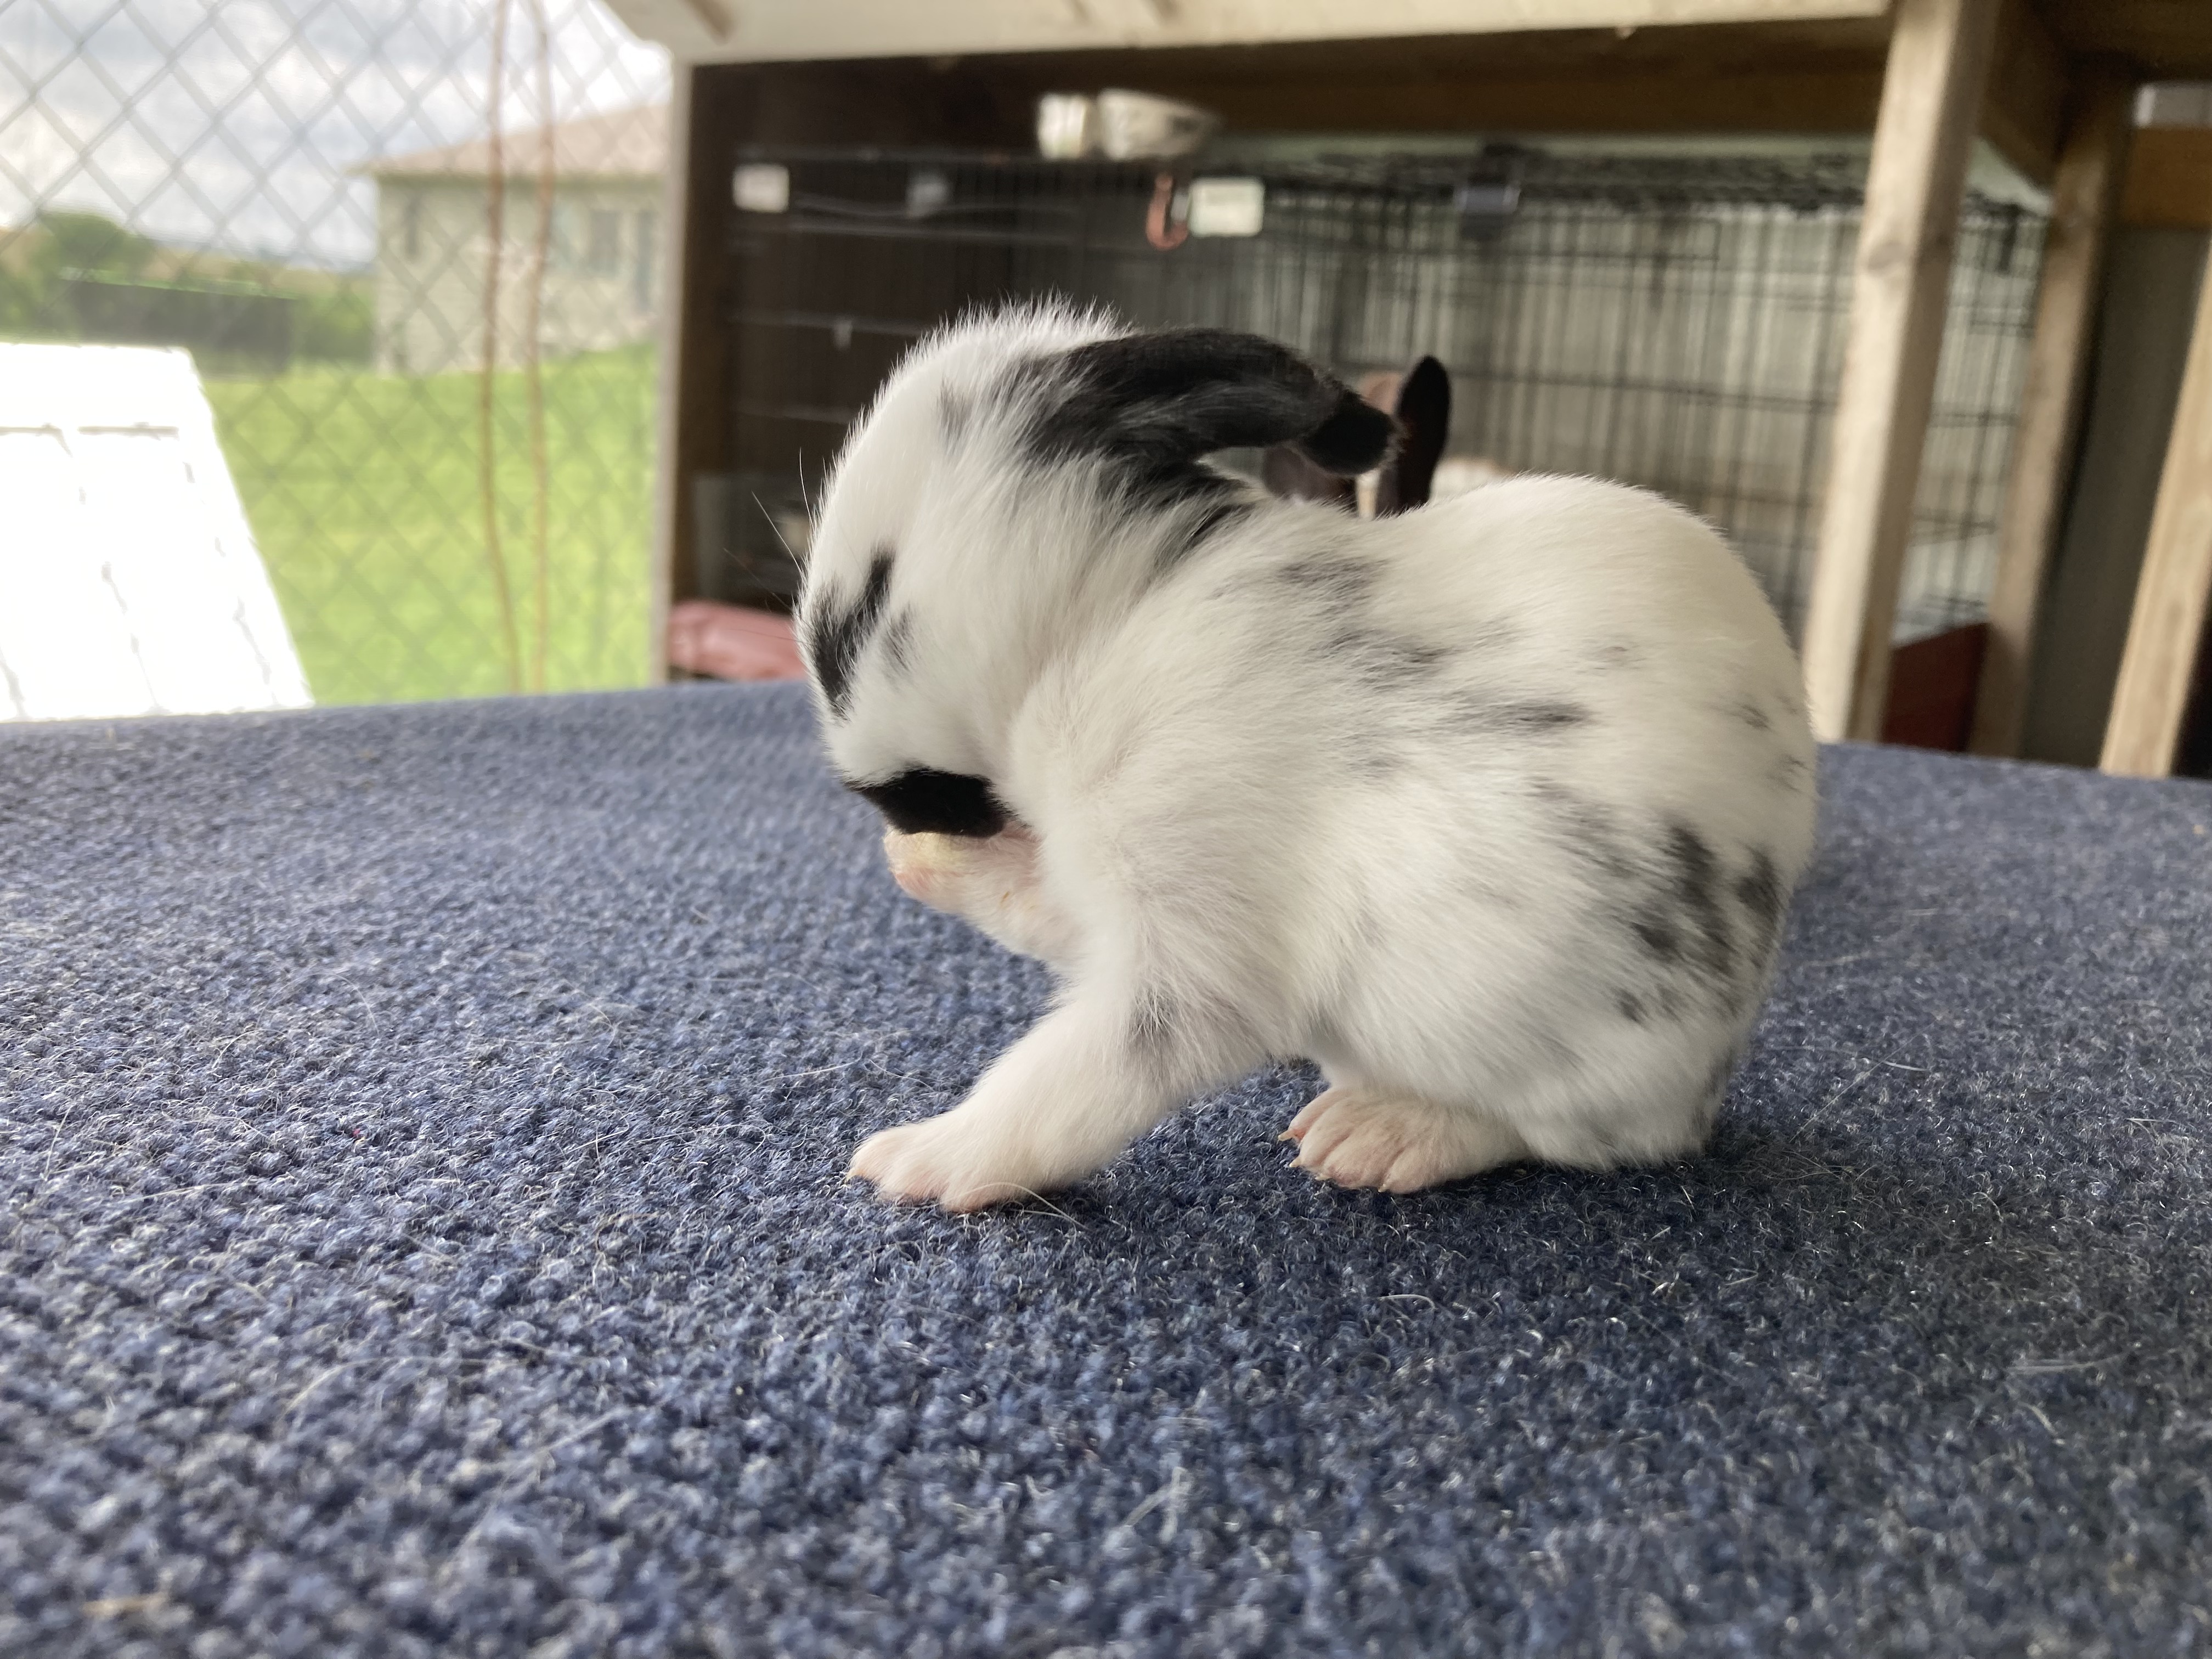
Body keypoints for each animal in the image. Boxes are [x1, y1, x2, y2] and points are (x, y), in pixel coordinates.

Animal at [796, 303, 1817, 1211]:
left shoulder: (1188, 958)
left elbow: (1070, 1078)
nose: (885, 810)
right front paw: (928, 869)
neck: (1108, 621)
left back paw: (1379, 1134)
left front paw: (923, 1161)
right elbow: (1038, 906)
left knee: (1560, 1134)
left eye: (860, 614)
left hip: (1532, 1032)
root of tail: (1712, 1071)